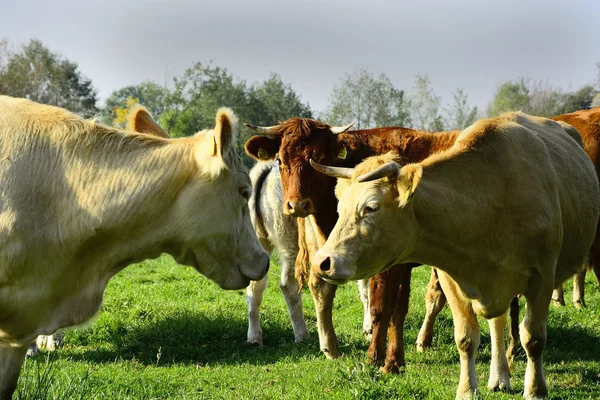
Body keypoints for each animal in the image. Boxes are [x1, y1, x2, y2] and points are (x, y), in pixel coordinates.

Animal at [310, 112, 600, 400]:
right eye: (340, 207)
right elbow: (466, 337)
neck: (490, 202)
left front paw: (536, 390)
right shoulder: (451, 277)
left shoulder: (542, 277)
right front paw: (467, 389)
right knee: (497, 322)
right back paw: (499, 377)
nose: (322, 262)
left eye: (370, 207)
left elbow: (533, 338)